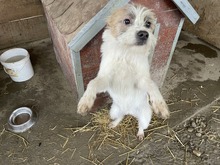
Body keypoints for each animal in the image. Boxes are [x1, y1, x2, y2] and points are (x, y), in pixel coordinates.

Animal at [77, 3, 170, 140]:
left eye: (148, 24)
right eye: (127, 21)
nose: (144, 34)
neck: (127, 53)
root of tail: (129, 110)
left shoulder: (141, 81)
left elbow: (152, 85)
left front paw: (160, 105)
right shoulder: (106, 79)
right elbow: (92, 83)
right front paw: (85, 102)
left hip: (145, 117)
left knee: (141, 125)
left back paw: (140, 133)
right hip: (114, 111)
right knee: (120, 117)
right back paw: (114, 124)